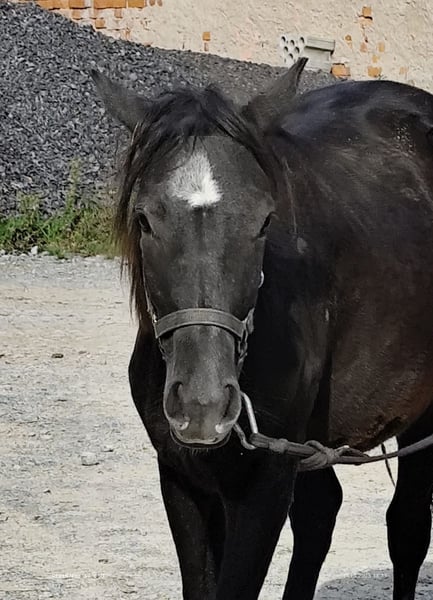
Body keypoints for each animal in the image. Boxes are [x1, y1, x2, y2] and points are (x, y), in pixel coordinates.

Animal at [91, 58, 433, 599]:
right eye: (144, 220)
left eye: (265, 221)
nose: (204, 407)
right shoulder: (183, 477)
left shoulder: (263, 484)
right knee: (321, 514)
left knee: (408, 526)